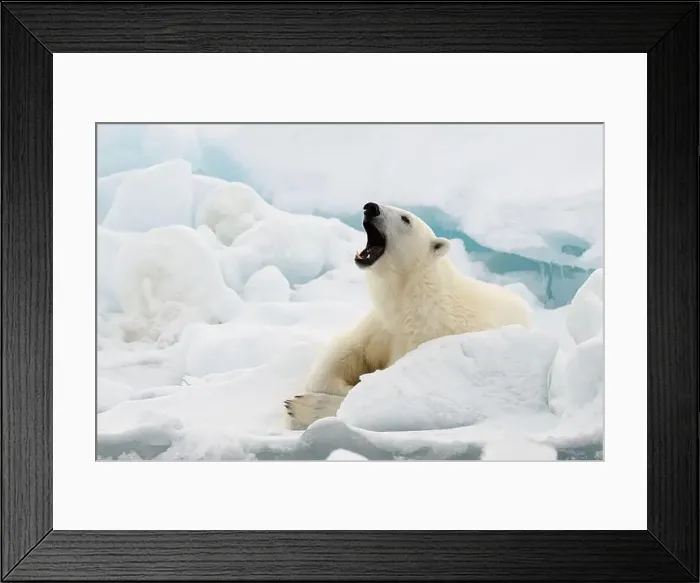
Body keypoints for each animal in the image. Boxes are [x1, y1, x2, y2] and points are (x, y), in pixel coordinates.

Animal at [284, 202, 532, 429]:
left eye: (405, 219)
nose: (370, 207)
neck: (411, 300)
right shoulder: (382, 325)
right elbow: (344, 351)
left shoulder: (426, 342)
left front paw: (303, 406)